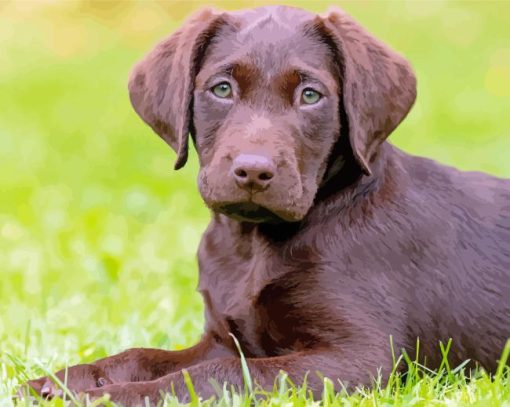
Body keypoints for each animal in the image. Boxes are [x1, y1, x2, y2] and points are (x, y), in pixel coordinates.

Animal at [23, 4, 510, 406]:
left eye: (310, 95)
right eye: (222, 89)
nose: (253, 171)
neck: (252, 244)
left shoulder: (360, 358)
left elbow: (215, 376)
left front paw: (107, 397)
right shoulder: (225, 337)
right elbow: (145, 355)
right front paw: (65, 380)